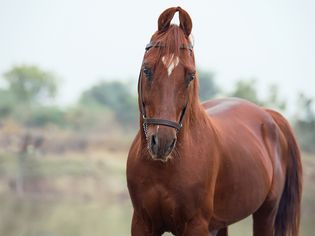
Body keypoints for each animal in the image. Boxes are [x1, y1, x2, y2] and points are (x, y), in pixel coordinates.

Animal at [126, 6, 304, 235]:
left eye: (190, 76)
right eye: (147, 69)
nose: (162, 142)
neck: (164, 169)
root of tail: (268, 114)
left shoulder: (196, 226)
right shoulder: (142, 223)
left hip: (266, 214)